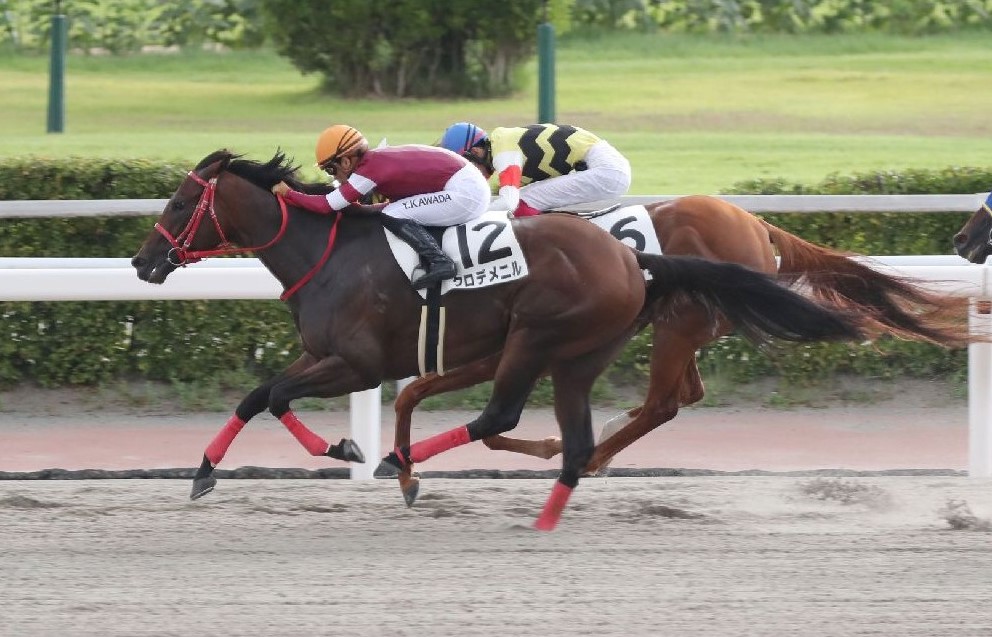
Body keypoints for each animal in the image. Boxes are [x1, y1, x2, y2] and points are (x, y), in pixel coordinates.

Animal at [130, 150, 860, 532]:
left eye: (177, 205)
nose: (142, 262)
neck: (327, 252)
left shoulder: (357, 363)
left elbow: (275, 395)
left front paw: (348, 448)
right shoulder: (328, 354)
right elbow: (262, 395)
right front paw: (210, 468)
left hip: (568, 334)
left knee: (543, 412)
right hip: (585, 348)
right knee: (619, 415)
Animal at [392, 194, 972, 502]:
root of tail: (759, 226)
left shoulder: (522, 345)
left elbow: (488, 418)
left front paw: (555, 446)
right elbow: (442, 401)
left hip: (680, 322)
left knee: (664, 404)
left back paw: (595, 456)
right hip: (690, 327)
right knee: (683, 396)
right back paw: (604, 441)